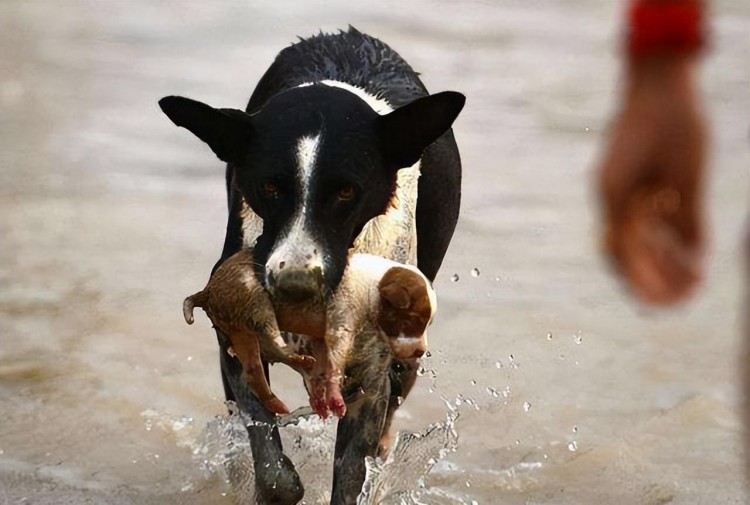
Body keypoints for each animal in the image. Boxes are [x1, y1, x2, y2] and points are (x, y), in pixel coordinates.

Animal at [159, 28, 464, 504]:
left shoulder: (370, 379)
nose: (294, 285)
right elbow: (271, 464)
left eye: (346, 192)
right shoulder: (236, 345)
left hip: (409, 347)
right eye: (268, 187)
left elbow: (352, 469)